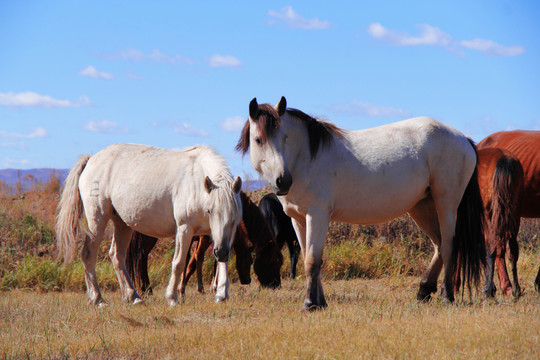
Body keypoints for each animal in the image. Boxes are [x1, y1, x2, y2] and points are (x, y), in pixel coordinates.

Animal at [56, 142, 240, 306]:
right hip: (97, 218)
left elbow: (222, 262)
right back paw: (97, 299)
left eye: (233, 216)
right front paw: (172, 298)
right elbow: (179, 263)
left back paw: (133, 297)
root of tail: (91, 159)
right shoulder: (184, 228)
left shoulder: (220, 236)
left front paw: (221, 294)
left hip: (122, 223)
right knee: (88, 254)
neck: (196, 180)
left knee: (117, 256)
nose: (221, 251)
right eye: (209, 210)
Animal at [127, 190, 284, 294]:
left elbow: (195, 262)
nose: (276, 285)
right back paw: (146, 289)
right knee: (140, 258)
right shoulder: (208, 238)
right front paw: (206, 287)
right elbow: (201, 260)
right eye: (272, 262)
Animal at [237, 97, 486, 310]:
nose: (283, 181)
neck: (306, 159)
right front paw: (320, 302)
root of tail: (463, 139)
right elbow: (311, 259)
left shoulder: (317, 215)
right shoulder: (298, 220)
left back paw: (446, 295)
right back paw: (424, 291)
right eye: (258, 140)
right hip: (422, 207)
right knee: (438, 245)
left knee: (449, 245)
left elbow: (312, 261)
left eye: (285, 138)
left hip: (446, 204)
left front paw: (309, 304)